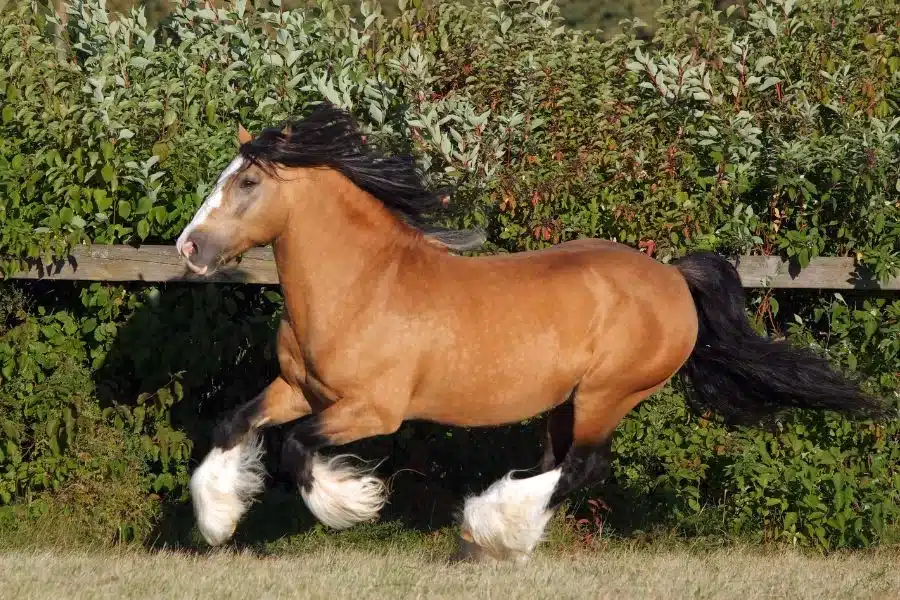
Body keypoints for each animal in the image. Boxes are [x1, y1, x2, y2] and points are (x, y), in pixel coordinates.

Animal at [176, 102, 884, 564]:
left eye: (247, 181)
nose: (189, 248)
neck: (362, 286)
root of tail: (672, 278)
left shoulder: (370, 411)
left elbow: (297, 449)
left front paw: (351, 504)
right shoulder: (298, 389)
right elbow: (234, 424)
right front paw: (217, 522)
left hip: (609, 393)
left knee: (583, 468)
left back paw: (489, 529)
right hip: (566, 400)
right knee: (557, 463)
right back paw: (498, 538)